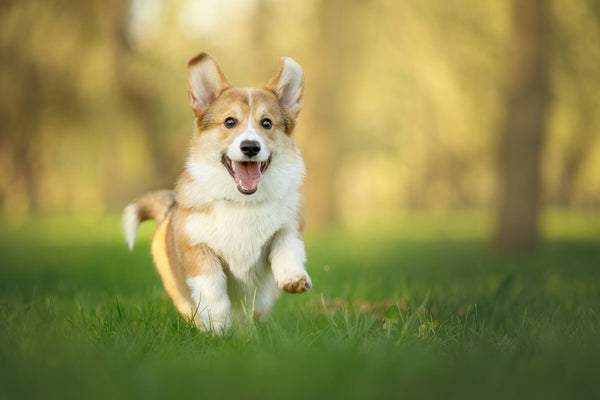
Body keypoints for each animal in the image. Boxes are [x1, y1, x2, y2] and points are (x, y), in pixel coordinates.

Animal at [120, 53, 310, 332]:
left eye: (266, 123)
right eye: (230, 122)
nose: (250, 147)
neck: (242, 203)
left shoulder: (289, 227)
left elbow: (285, 248)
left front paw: (293, 278)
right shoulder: (199, 250)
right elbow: (213, 292)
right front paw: (217, 328)